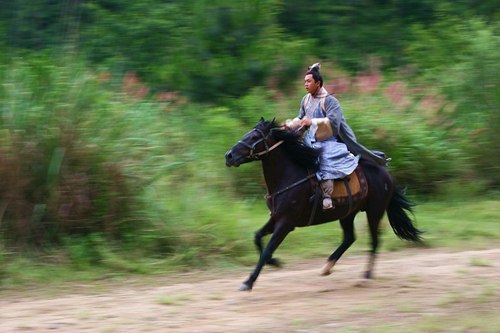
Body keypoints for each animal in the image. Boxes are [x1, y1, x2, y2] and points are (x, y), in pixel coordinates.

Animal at [225, 118, 420, 290]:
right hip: (348, 213)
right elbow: (257, 237)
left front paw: (248, 282)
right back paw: (327, 266)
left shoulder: (286, 223)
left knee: (374, 240)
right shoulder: (276, 219)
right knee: (350, 238)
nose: (229, 155)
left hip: (374, 212)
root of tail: (385, 174)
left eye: (253, 137)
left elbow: (266, 249)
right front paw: (275, 262)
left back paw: (365, 276)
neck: (288, 177)